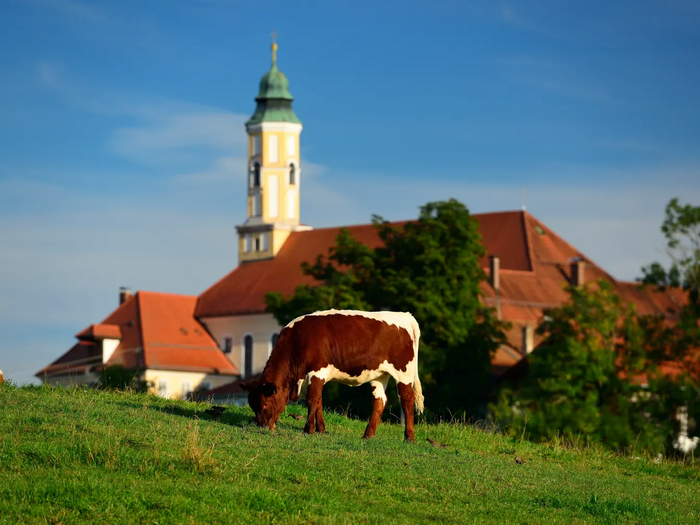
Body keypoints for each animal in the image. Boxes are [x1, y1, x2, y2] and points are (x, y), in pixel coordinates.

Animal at [239, 309, 424, 442]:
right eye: (252, 405)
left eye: (264, 404)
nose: (263, 427)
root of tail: (404, 315)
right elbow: (319, 401)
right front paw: (320, 429)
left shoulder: (317, 371)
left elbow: (312, 400)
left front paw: (309, 430)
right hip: (378, 375)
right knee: (380, 401)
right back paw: (368, 435)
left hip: (404, 371)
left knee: (407, 400)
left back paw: (409, 438)